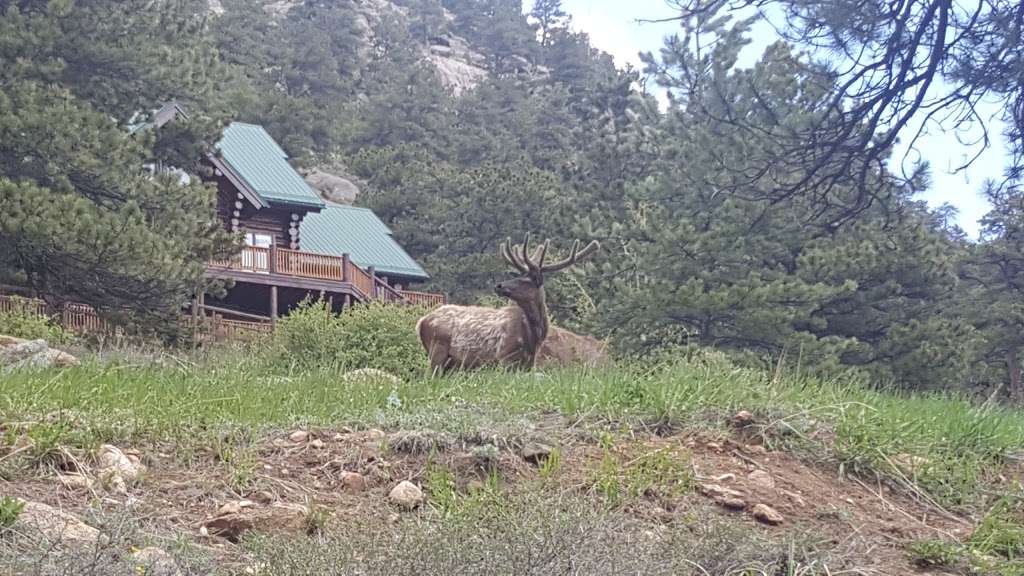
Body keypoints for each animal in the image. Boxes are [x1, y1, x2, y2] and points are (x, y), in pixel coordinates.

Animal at [415, 234, 598, 373]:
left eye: (526, 280)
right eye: (519, 275)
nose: (499, 285)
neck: (533, 337)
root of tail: (421, 321)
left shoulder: (528, 363)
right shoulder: (504, 356)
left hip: (450, 362)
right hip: (437, 349)